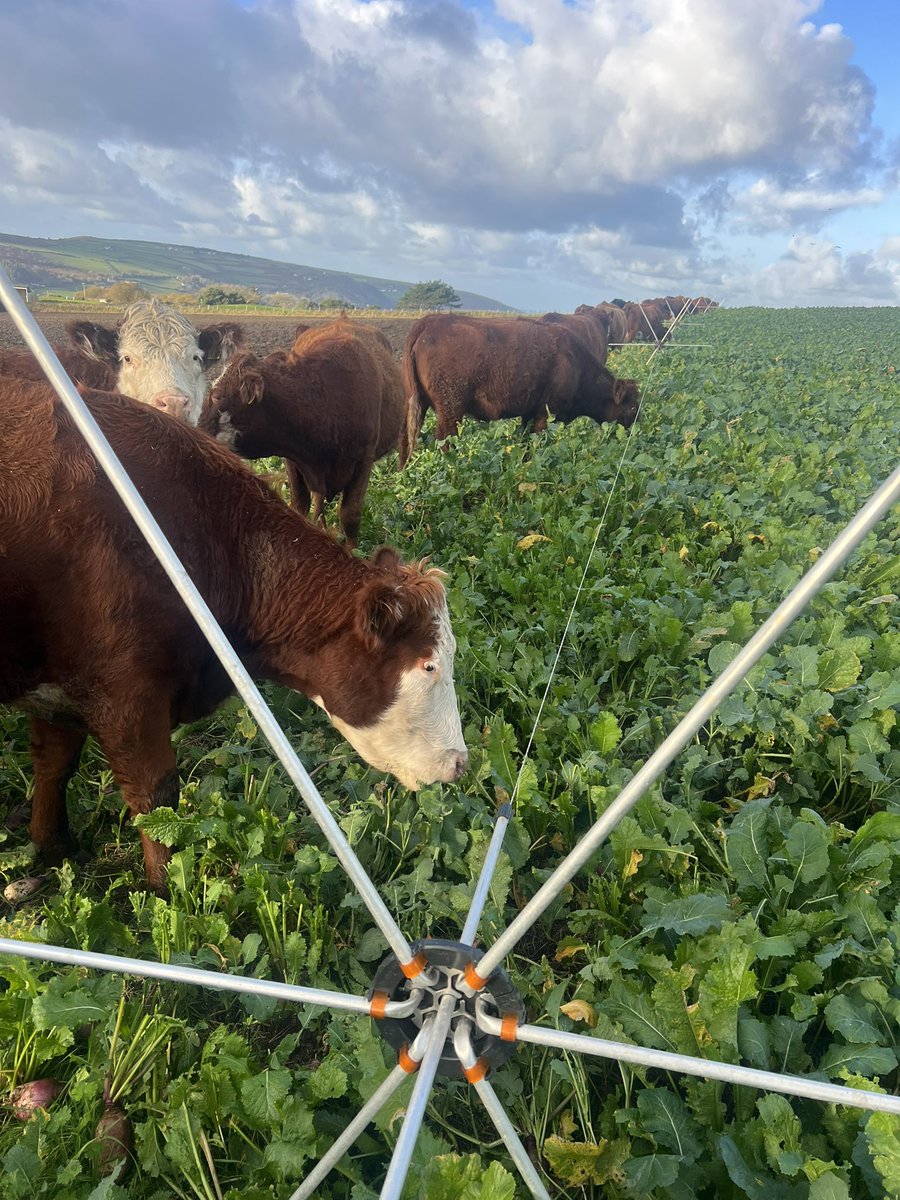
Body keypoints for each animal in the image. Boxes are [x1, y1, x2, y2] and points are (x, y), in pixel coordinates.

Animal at [0, 379, 468, 892]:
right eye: (429, 665)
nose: (461, 762)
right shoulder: (127, 696)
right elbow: (154, 796)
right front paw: (167, 888)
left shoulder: (58, 689)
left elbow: (53, 763)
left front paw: (53, 845)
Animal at [201, 318, 404, 550]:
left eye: (216, 396)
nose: (194, 428)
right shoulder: (294, 461)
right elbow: (300, 507)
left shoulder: (364, 461)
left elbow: (350, 515)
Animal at [398, 314, 640, 466]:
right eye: (632, 408)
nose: (632, 437)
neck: (576, 364)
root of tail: (431, 322)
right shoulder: (544, 415)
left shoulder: (529, 414)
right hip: (450, 412)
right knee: (445, 440)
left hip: (417, 405)